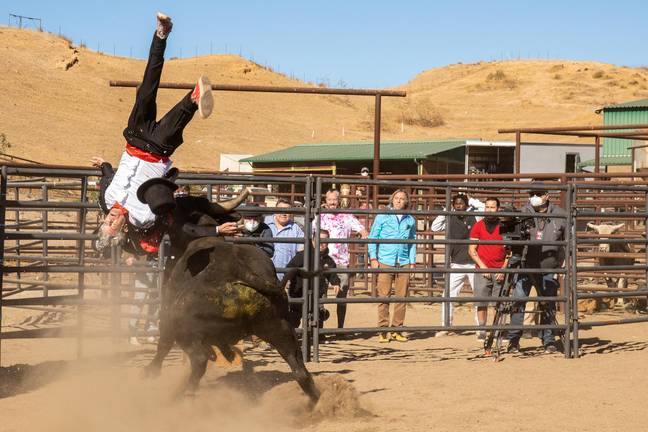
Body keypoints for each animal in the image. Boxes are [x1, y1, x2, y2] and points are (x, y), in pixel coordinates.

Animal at [146, 196, 320, 402]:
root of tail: (241, 271)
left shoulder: (167, 311)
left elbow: (163, 344)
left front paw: (150, 371)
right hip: (280, 327)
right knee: (300, 371)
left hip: (184, 327)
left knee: (198, 359)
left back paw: (183, 393)